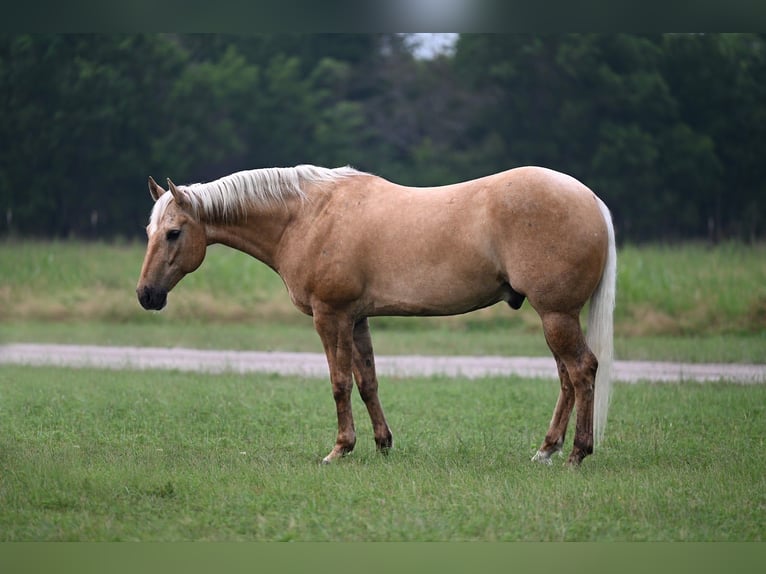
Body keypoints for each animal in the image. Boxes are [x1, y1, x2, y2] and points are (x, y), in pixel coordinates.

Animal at [138, 166, 616, 468]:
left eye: (174, 233)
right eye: (149, 231)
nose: (146, 295)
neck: (308, 215)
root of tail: (592, 200)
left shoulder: (330, 316)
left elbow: (339, 383)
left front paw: (339, 449)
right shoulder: (357, 319)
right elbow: (367, 381)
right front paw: (383, 445)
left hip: (556, 314)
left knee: (581, 371)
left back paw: (577, 453)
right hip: (555, 317)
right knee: (567, 379)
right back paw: (546, 451)